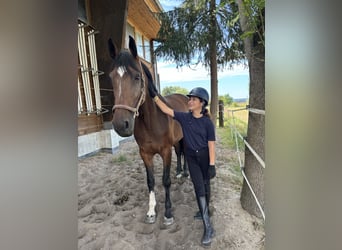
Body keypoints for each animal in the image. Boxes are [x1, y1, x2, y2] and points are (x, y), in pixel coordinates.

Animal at [108, 35, 188, 225]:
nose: (121, 124)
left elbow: (165, 181)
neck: (152, 122)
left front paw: (168, 213)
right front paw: (151, 212)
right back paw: (179, 172)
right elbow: (150, 181)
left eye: (137, 77)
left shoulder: (165, 151)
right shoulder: (145, 153)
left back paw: (186, 173)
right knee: (180, 152)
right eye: (111, 77)